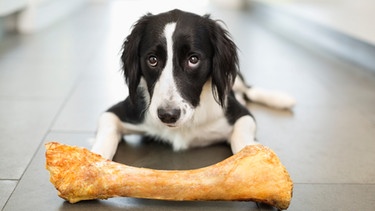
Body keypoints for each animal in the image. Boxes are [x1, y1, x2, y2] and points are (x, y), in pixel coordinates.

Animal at [91, 8, 296, 160]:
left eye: (193, 59)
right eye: (152, 59)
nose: (168, 115)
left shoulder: (242, 115)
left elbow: (241, 136)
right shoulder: (117, 112)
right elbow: (105, 134)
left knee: (249, 90)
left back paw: (281, 99)